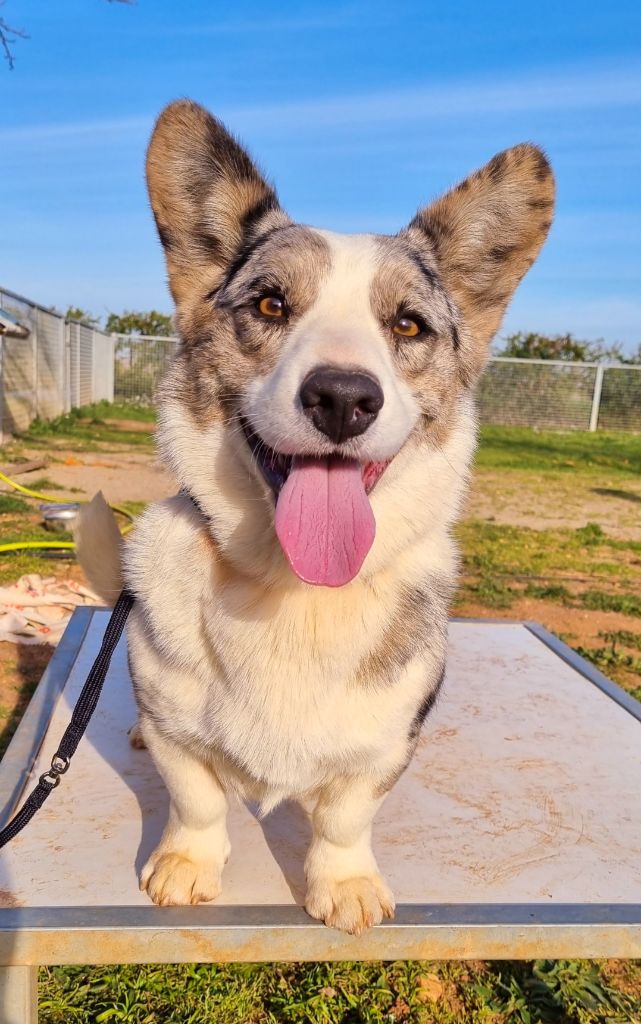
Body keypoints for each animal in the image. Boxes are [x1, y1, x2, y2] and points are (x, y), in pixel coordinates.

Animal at [74, 99, 552, 933]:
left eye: (408, 326)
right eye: (270, 304)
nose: (342, 397)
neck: (292, 589)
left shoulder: (382, 746)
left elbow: (344, 816)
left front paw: (345, 884)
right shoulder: (178, 736)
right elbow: (197, 798)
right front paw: (186, 865)